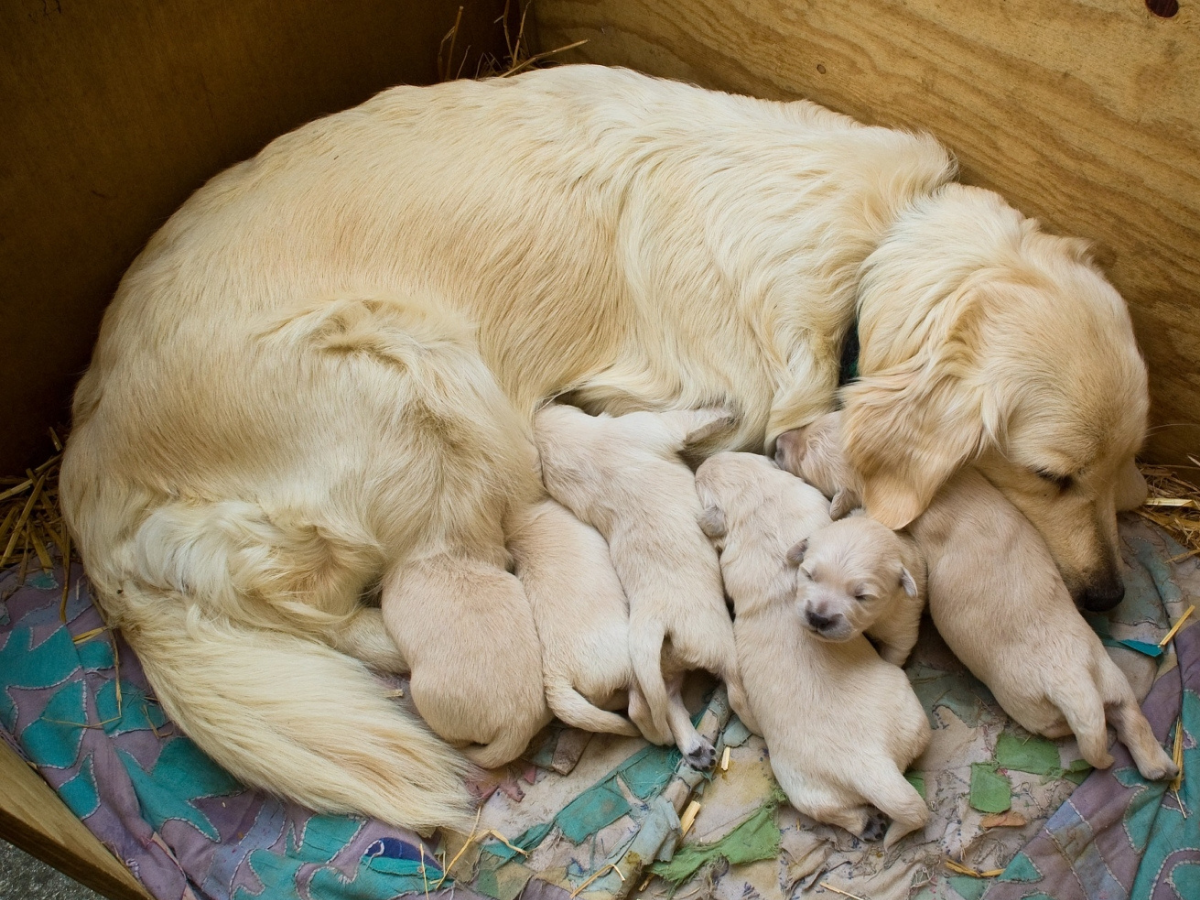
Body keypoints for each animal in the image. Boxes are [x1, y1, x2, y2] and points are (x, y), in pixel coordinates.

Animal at [535, 405, 748, 772]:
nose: (542, 408)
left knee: (661, 703)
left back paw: (694, 748)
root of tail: (654, 624)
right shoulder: (649, 426)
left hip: (661, 670)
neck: (584, 457)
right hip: (717, 643)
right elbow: (690, 420)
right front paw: (725, 411)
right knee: (728, 686)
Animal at [696, 453, 926, 849]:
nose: (701, 463)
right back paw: (870, 824)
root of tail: (871, 765)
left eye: (699, 484)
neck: (760, 505)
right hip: (814, 784)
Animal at [902, 472, 1176, 782]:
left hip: (1028, 705)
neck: (956, 493)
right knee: (1132, 718)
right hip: (1113, 681)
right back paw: (1162, 768)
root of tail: (1076, 686)